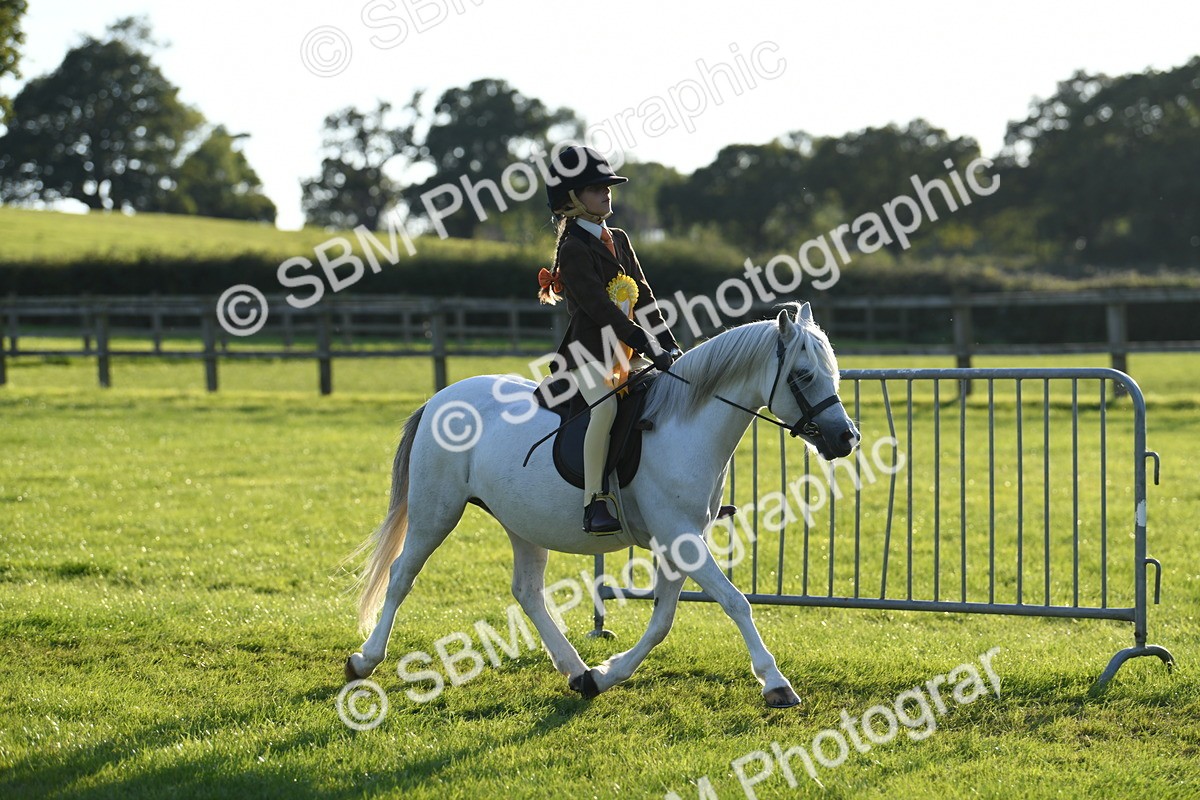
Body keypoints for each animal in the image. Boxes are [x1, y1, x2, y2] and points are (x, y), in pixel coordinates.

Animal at [345, 302, 860, 707]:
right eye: (802, 375)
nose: (846, 438)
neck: (686, 427)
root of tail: (439, 399)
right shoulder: (682, 538)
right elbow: (735, 602)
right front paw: (776, 684)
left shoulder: (679, 543)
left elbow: (662, 621)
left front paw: (604, 676)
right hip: (436, 512)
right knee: (401, 575)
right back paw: (364, 660)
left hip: (522, 523)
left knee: (527, 592)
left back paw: (575, 669)